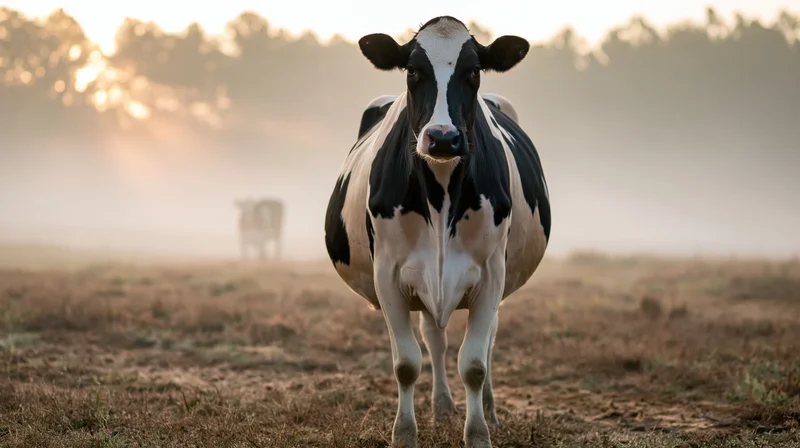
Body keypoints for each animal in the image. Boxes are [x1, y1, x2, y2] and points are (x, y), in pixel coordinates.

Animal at [324, 16, 551, 448]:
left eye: (474, 71)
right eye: (413, 71)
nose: (443, 137)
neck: (441, 190)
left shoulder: (492, 273)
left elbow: (475, 363)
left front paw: (478, 434)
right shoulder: (387, 274)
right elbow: (407, 364)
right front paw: (403, 435)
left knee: (485, 341)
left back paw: (489, 411)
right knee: (435, 337)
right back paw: (442, 406)